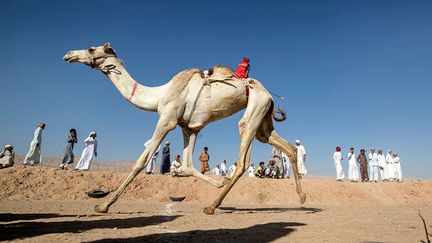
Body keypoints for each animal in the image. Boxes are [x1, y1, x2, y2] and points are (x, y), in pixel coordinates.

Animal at [63, 43, 308, 215]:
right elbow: (187, 165)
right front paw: (218, 181)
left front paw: (104, 205)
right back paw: (302, 197)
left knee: (243, 161)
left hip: (253, 111)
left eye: (91, 48)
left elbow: (141, 161)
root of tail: (268, 93)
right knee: (285, 146)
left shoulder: (166, 120)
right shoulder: (188, 128)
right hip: (263, 117)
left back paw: (211, 206)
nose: (68, 54)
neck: (159, 95)